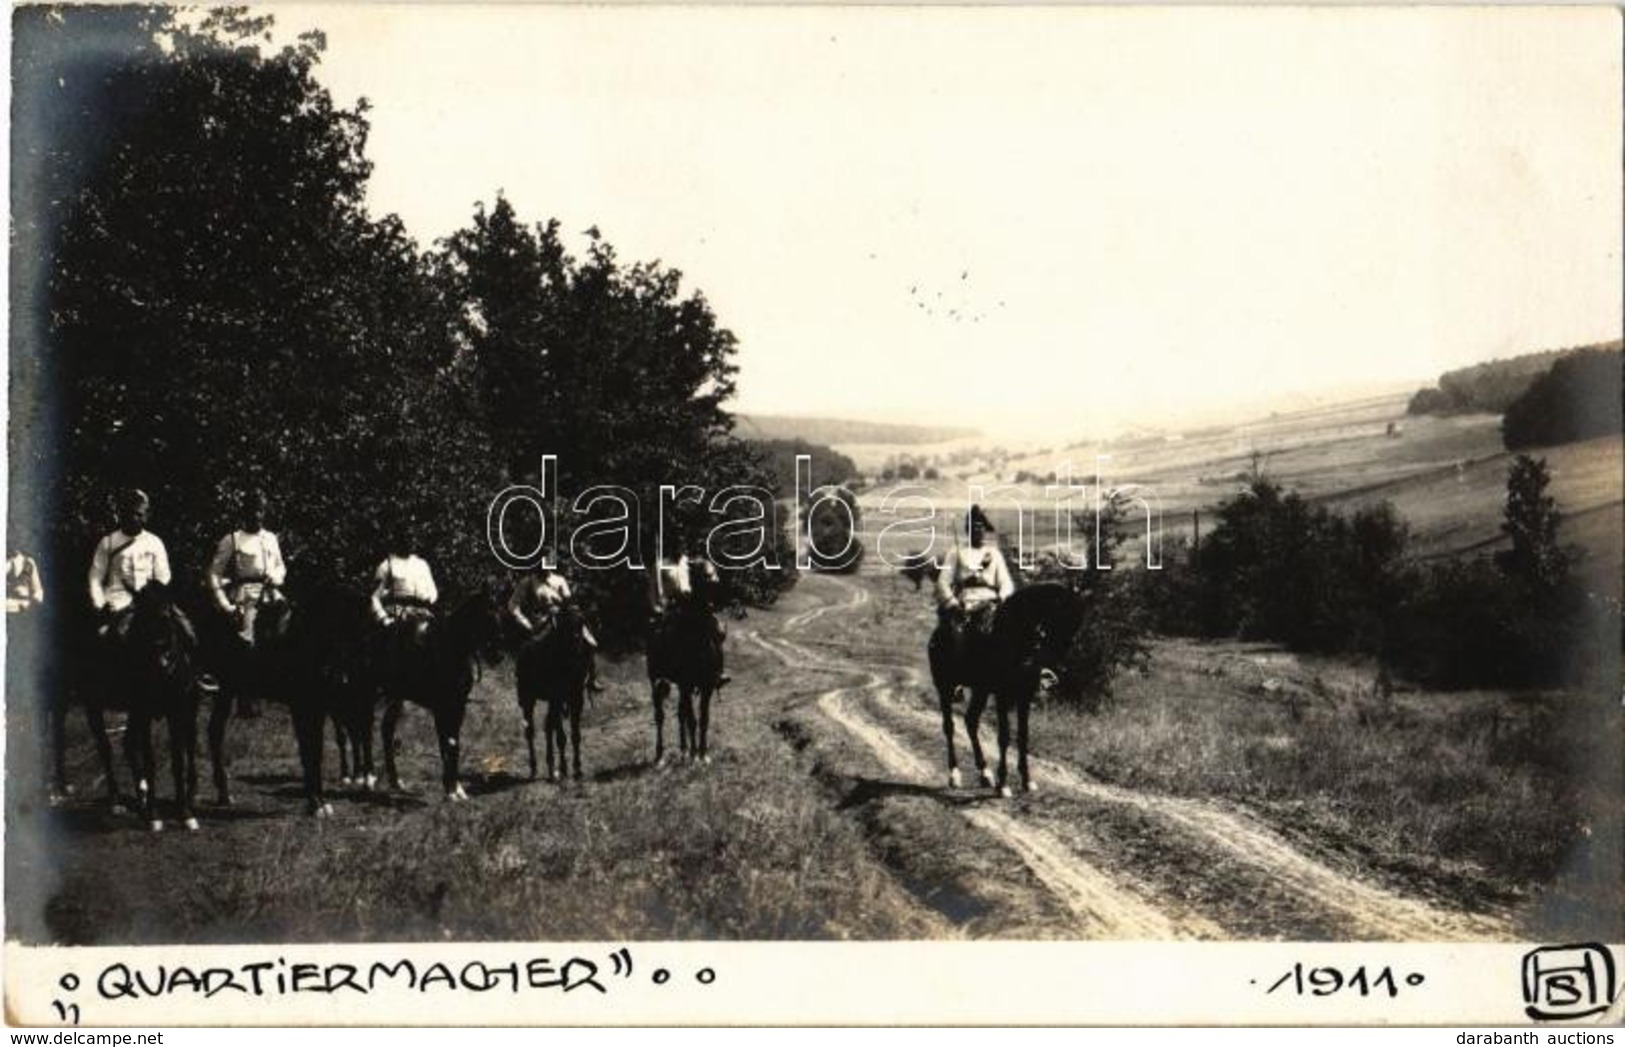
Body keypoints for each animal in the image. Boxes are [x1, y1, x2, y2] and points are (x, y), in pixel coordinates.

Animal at [370, 598, 507, 803]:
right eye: (487, 616)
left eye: (500, 615)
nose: (497, 656)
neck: (449, 650)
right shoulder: (441, 708)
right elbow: (447, 743)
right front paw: (451, 790)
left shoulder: (457, 706)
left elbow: (453, 743)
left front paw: (456, 789)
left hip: (396, 697)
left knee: (386, 730)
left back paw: (395, 781)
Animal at [513, 601, 598, 780]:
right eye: (564, 625)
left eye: (581, 623)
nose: (577, 642)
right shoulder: (556, 698)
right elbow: (561, 737)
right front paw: (564, 768)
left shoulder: (576, 699)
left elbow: (575, 735)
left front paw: (577, 768)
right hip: (527, 699)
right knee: (530, 731)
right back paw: (535, 768)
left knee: (547, 726)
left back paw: (551, 766)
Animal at [936, 585, 1085, 796]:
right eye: (1062, 619)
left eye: (1076, 626)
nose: (1059, 668)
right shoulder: (1002, 696)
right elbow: (1004, 737)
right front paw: (1004, 784)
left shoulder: (1024, 696)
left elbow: (1023, 736)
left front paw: (1027, 780)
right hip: (944, 687)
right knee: (949, 727)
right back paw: (955, 774)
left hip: (981, 691)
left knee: (971, 721)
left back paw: (985, 773)